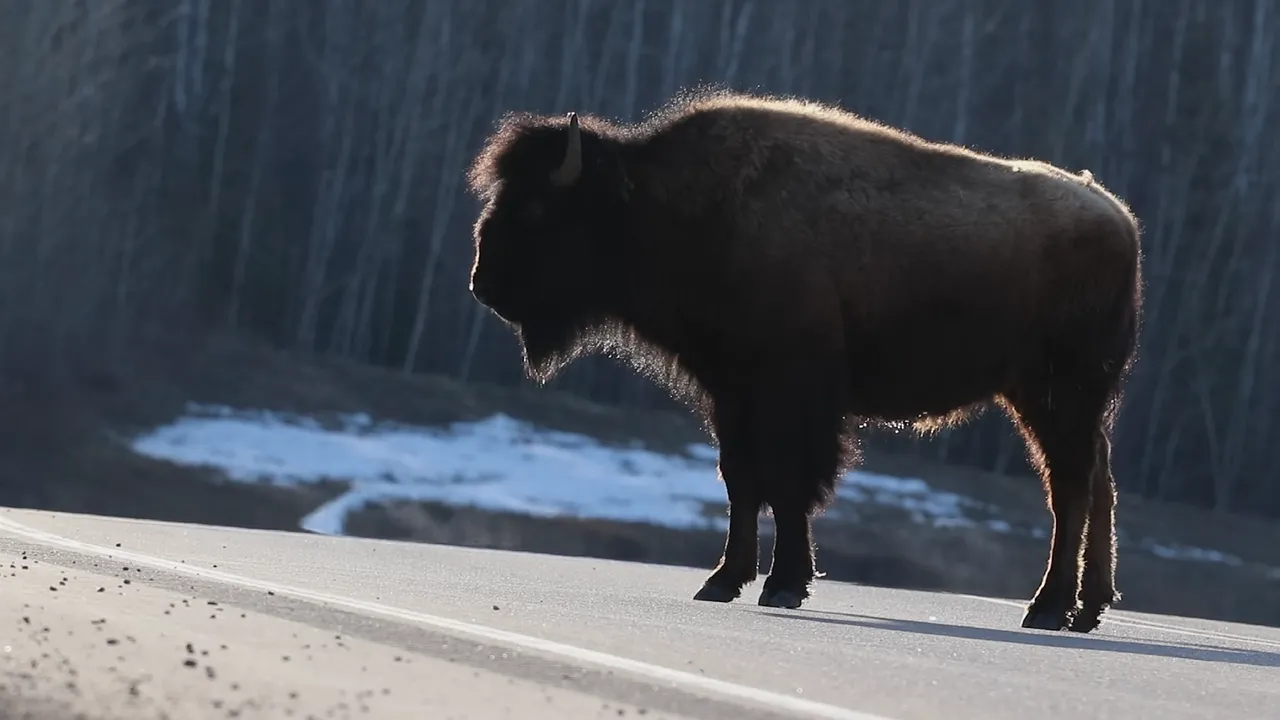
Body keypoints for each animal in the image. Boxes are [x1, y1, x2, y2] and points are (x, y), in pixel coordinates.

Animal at [464, 88, 1143, 633]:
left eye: (536, 208)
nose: (482, 284)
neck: (668, 204)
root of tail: (1118, 217)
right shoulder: (731, 394)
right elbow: (741, 480)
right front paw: (722, 582)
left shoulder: (793, 393)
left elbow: (789, 483)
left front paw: (784, 585)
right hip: (1058, 401)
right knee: (1098, 481)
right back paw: (1087, 610)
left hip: (1059, 395)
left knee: (1070, 488)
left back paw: (1048, 609)